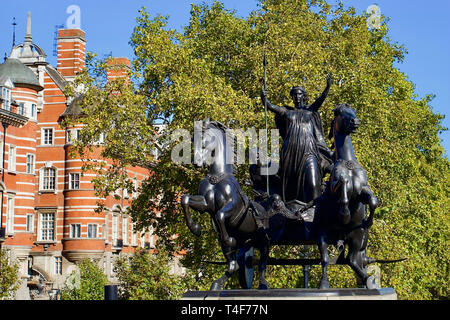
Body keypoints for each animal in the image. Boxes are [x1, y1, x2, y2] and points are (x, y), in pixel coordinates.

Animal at [316, 105, 380, 290]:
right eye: (341, 113)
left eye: (353, 111)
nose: (355, 121)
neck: (348, 162)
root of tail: (341, 236)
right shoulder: (334, 188)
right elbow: (343, 190)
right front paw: (344, 215)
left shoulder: (362, 190)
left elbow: (373, 201)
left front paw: (368, 221)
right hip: (322, 235)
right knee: (325, 259)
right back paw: (324, 285)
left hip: (357, 238)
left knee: (352, 260)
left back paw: (367, 280)